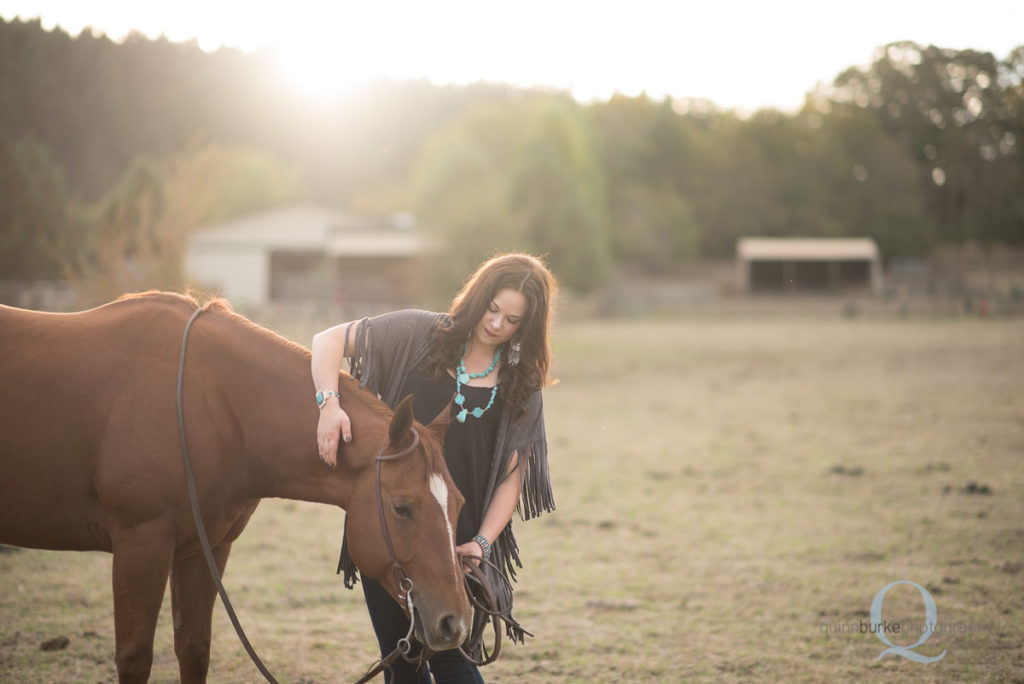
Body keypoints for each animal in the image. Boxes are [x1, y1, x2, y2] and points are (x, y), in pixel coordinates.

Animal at [0, 290, 471, 679]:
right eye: (402, 507)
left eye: (459, 505)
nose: (457, 622)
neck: (209, 404)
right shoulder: (140, 545)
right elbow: (134, 657)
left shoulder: (204, 548)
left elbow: (193, 650)